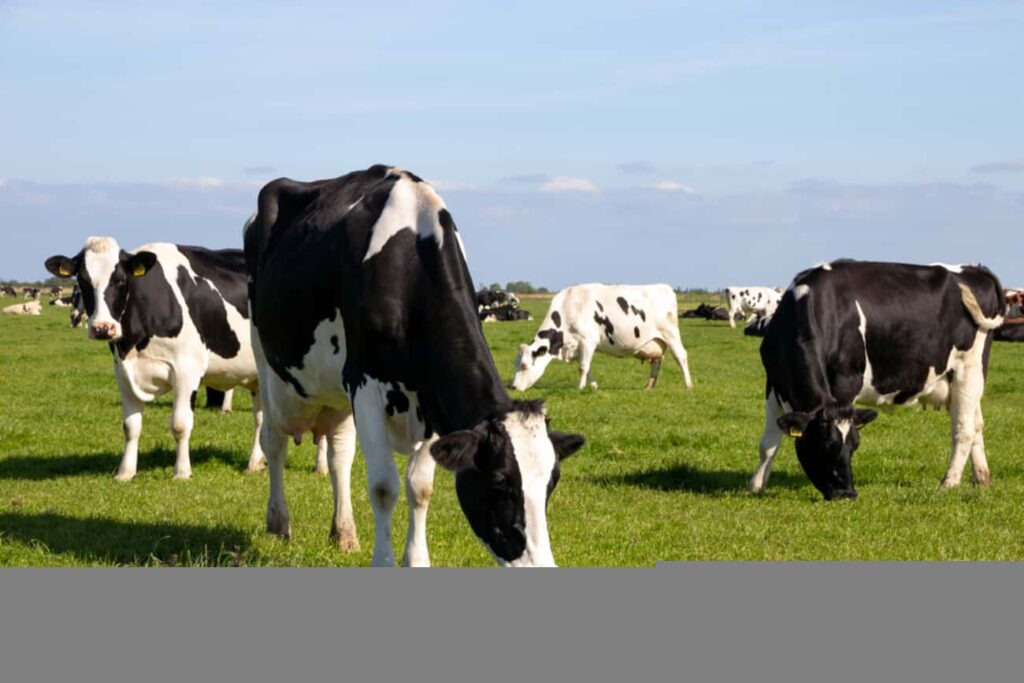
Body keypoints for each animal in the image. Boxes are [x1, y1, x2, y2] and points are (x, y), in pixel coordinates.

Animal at [43, 237, 270, 483]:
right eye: (83, 280)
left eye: (120, 280)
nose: (103, 328)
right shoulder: (123, 372)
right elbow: (130, 426)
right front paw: (125, 472)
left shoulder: (186, 370)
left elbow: (180, 424)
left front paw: (182, 472)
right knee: (261, 417)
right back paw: (255, 463)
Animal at [243, 163, 585, 565]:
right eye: (500, 483)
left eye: (552, 481)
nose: (541, 565)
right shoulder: (364, 384)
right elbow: (383, 487)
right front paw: (383, 561)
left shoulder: (432, 396)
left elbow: (420, 487)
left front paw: (417, 559)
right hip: (267, 364)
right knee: (274, 442)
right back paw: (278, 522)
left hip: (335, 392)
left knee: (339, 454)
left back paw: (344, 533)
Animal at [512, 282, 696, 389]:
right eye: (516, 364)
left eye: (524, 366)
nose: (513, 387)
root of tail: (664, 286)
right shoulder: (579, 345)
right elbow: (587, 366)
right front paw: (593, 386)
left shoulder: (588, 340)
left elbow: (583, 367)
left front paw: (579, 388)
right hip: (656, 341)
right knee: (657, 361)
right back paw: (649, 386)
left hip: (670, 334)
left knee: (681, 356)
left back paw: (688, 385)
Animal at [753, 259, 1007, 499]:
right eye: (825, 445)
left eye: (854, 446)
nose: (847, 494)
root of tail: (973, 268)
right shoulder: (773, 383)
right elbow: (768, 443)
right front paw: (756, 486)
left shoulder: (847, 382)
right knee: (977, 425)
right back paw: (982, 478)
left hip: (969, 370)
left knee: (964, 429)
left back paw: (949, 483)